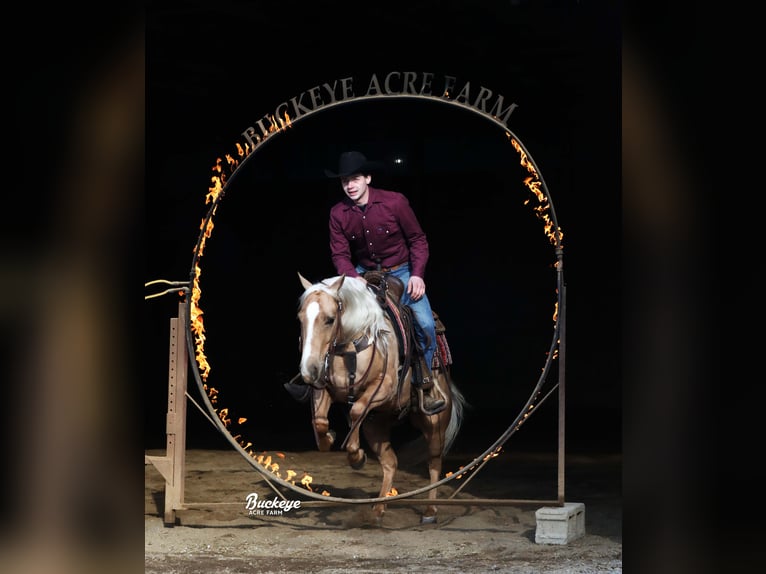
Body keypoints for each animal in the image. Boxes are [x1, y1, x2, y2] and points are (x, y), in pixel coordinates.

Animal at [296, 274, 464, 528]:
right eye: (301, 318)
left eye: (329, 319)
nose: (309, 370)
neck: (352, 344)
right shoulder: (325, 390)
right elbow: (320, 421)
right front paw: (333, 439)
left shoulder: (384, 388)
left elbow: (356, 410)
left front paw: (356, 456)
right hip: (377, 425)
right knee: (390, 462)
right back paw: (377, 509)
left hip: (435, 422)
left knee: (434, 462)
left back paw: (430, 510)